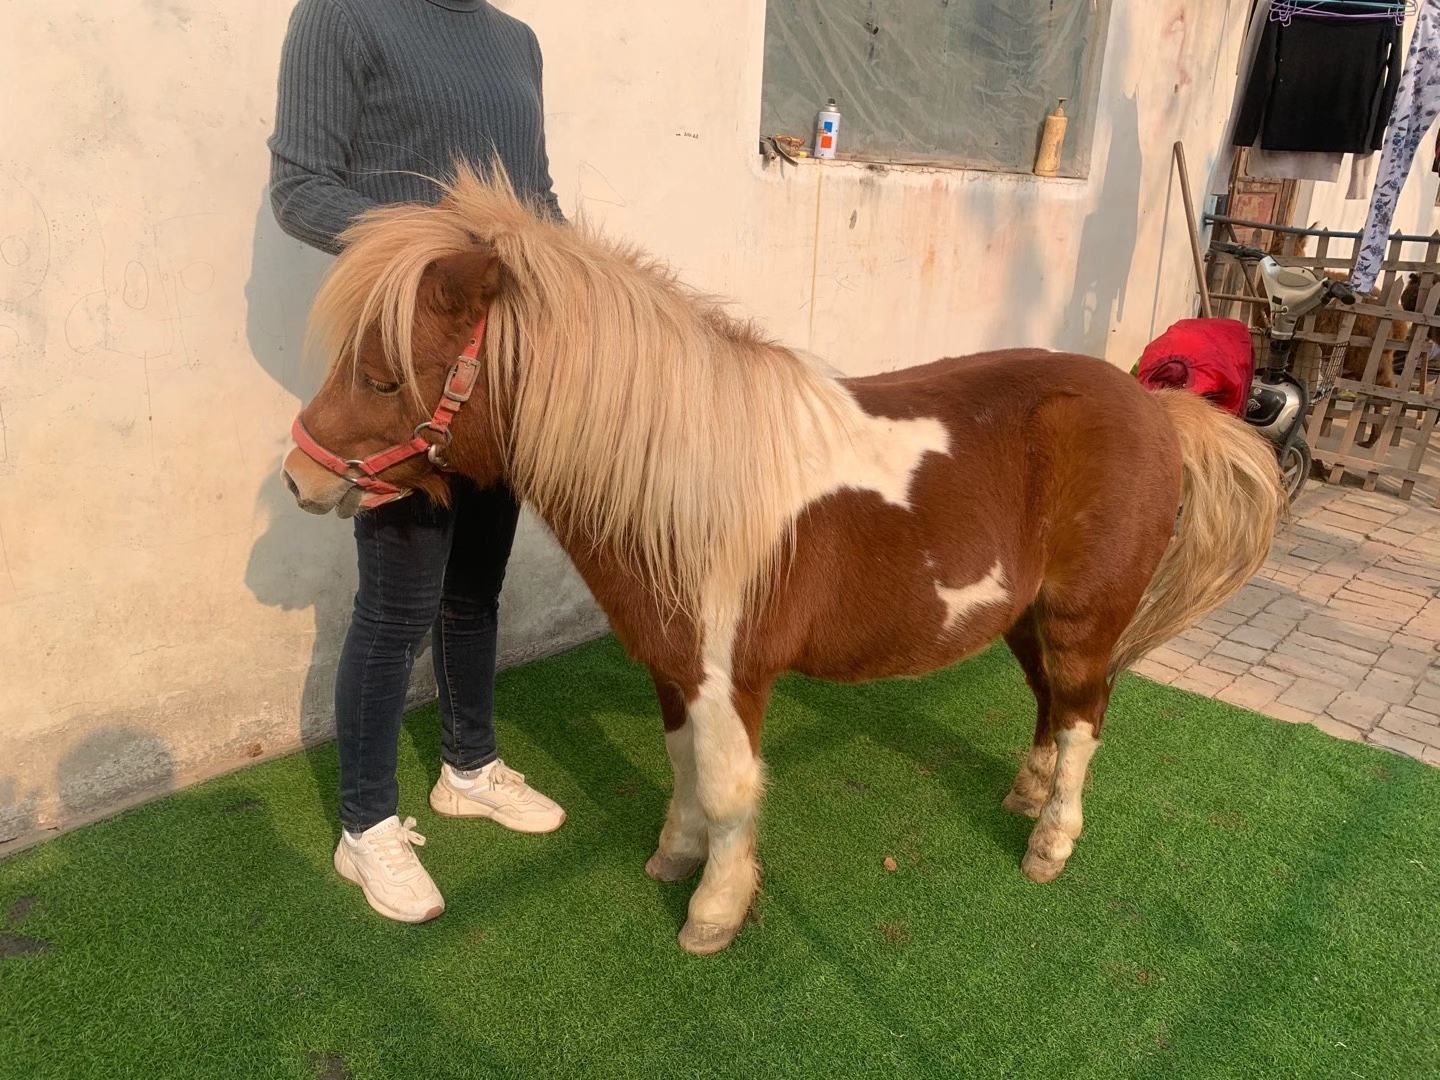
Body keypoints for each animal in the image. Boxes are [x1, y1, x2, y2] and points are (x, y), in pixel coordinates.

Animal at [282, 165, 1284, 956]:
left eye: (381, 375)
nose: (300, 477)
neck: (688, 476)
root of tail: (1156, 410)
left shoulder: (731, 674)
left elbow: (730, 789)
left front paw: (714, 910)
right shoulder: (675, 668)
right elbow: (685, 769)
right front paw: (674, 858)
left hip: (1084, 614)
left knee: (1083, 716)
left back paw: (1052, 843)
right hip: (1026, 616)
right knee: (1053, 703)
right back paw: (1026, 796)